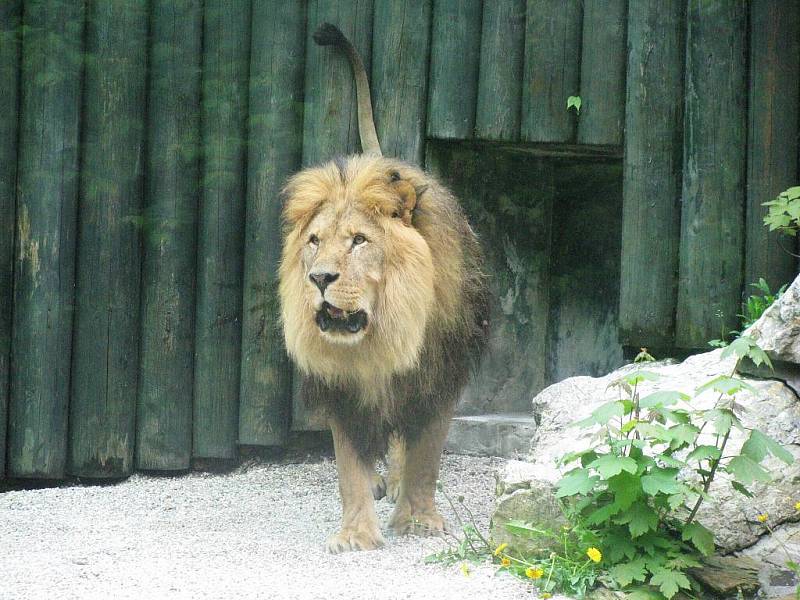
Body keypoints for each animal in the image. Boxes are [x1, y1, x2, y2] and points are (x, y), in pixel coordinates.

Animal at [278, 25, 490, 556]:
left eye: (358, 241)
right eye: (314, 242)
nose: (319, 278)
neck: (383, 336)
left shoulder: (439, 376)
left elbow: (426, 456)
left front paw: (418, 518)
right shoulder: (342, 389)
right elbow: (349, 468)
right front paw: (356, 534)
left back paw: (394, 482)